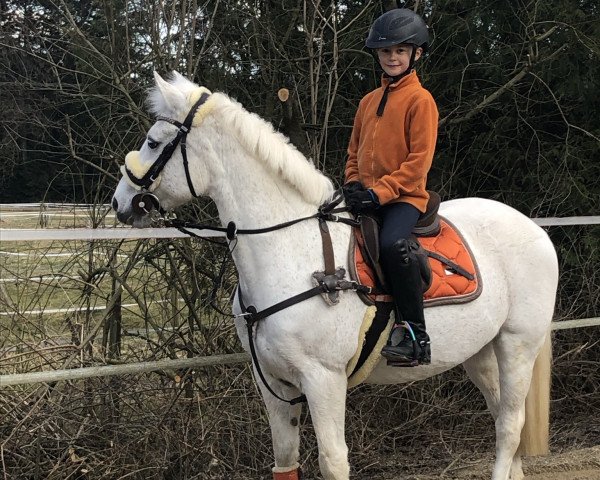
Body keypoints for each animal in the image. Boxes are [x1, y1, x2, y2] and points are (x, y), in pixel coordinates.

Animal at [111, 73, 556, 480]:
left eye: (153, 142)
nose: (119, 203)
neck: (290, 249)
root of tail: (534, 229)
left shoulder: (323, 380)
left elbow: (333, 461)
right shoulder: (273, 383)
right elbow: (285, 460)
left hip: (517, 344)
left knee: (509, 425)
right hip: (480, 352)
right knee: (502, 419)